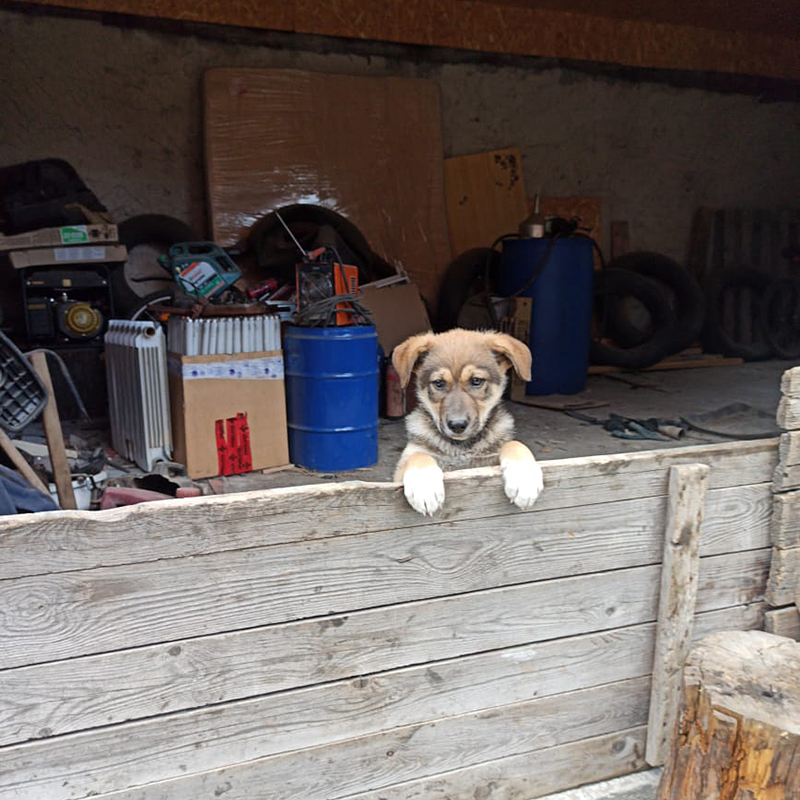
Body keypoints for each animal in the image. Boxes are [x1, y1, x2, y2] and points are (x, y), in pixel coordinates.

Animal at [392, 328, 544, 516]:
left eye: (476, 381)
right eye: (439, 383)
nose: (457, 425)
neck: (461, 448)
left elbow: (514, 444)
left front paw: (524, 479)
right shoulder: (398, 475)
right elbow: (418, 455)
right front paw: (425, 489)